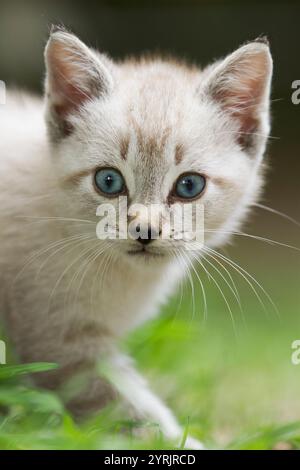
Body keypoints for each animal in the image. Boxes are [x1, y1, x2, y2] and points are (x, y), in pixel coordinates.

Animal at [0, 28, 274, 448]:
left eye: (189, 186)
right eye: (108, 181)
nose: (145, 230)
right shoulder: (57, 341)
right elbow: (128, 410)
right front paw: (185, 442)